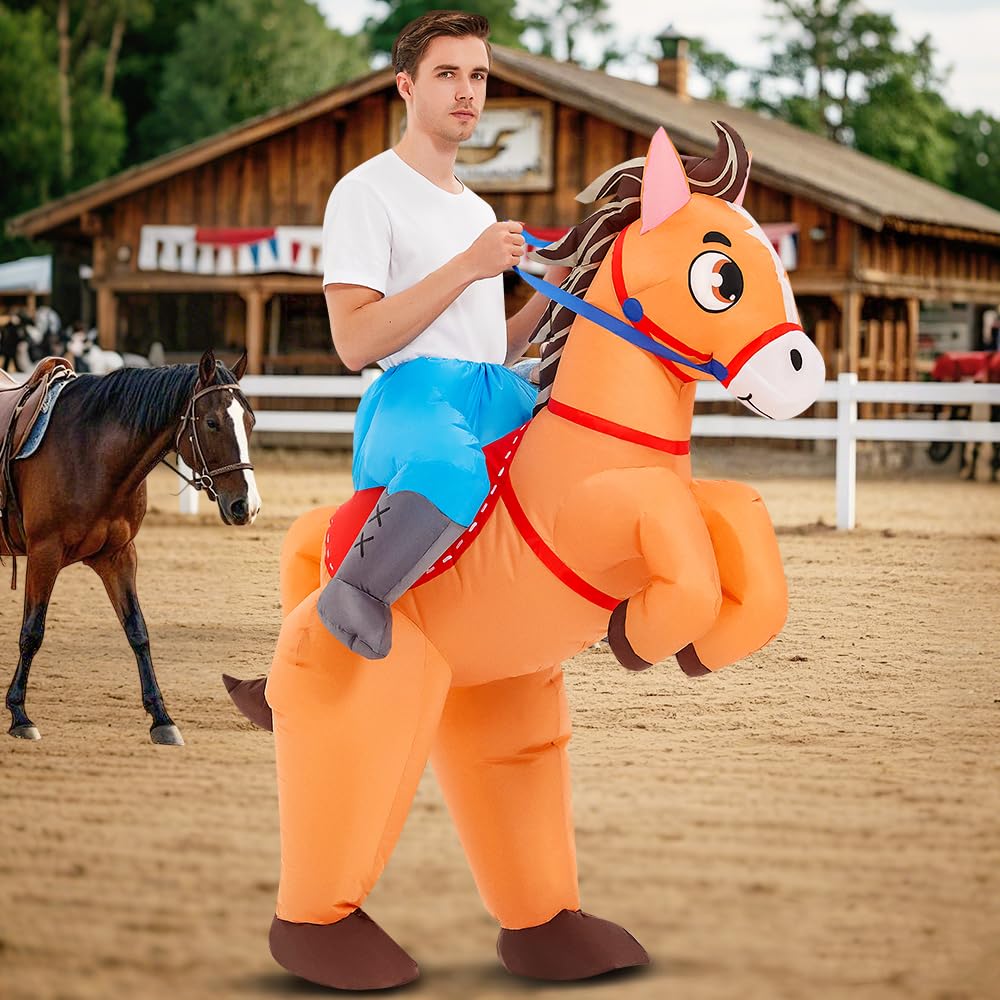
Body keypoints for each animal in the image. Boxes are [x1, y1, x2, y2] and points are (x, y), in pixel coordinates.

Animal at [2, 349, 260, 745]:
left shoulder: (119, 555)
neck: (90, 452)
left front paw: (161, 718)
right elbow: (32, 632)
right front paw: (19, 715)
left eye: (250, 421)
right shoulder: (45, 553)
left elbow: (137, 631)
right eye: (212, 422)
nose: (246, 505)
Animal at [222, 122, 825, 989]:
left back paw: (571, 945)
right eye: (720, 277)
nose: (801, 374)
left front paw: (700, 645)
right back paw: (343, 952)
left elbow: (736, 511)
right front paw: (639, 636)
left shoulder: (678, 497)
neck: (599, 440)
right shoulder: (602, 517)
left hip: (493, 695)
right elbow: (673, 525)